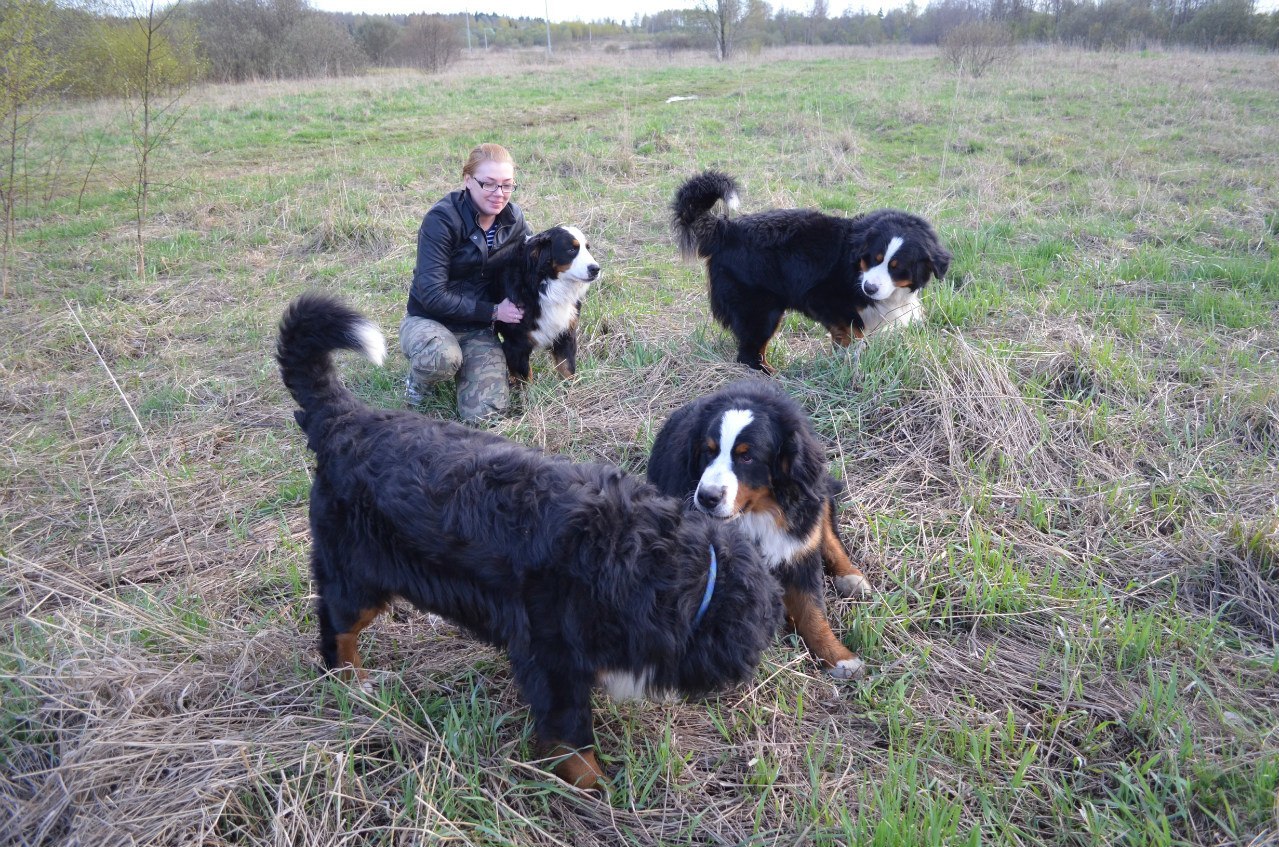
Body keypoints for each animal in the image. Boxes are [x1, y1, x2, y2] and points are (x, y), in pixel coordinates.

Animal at [274, 295, 782, 793]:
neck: (643, 559)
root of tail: (346, 420)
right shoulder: (552, 658)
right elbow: (573, 739)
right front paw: (594, 792)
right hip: (357, 576)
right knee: (337, 630)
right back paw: (351, 683)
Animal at [491, 225, 601, 383]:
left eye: (587, 248)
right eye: (571, 250)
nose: (596, 269)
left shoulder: (565, 334)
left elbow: (567, 369)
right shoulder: (516, 343)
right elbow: (526, 378)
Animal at [644, 381, 874, 680]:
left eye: (747, 457)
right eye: (708, 450)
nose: (707, 497)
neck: (755, 513)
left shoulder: (798, 551)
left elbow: (813, 612)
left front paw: (838, 657)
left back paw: (850, 576)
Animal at [670, 168, 951, 371]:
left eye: (897, 267)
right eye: (873, 259)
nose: (869, 288)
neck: (854, 265)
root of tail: (726, 229)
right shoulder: (820, 295)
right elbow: (854, 328)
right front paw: (852, 356)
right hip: (761, 310)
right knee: (750, 354)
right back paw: (773, 376)